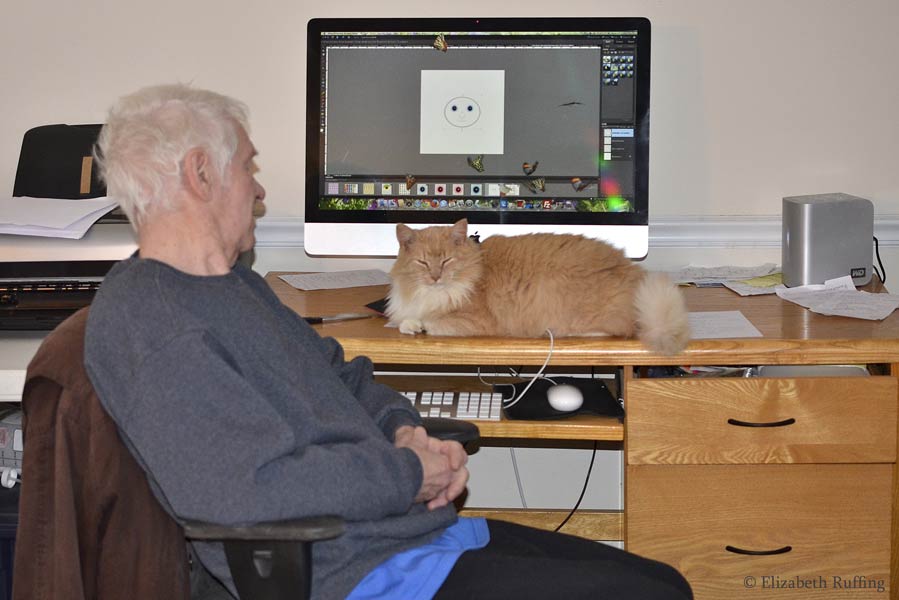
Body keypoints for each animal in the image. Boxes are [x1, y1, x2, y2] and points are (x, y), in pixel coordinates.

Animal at [384, 218, 688, 354]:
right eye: (423, 263)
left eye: (447, 261)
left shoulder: (475, 321)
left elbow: (428, 320)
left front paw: (414, 324)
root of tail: (634, 272)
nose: (435, 277)